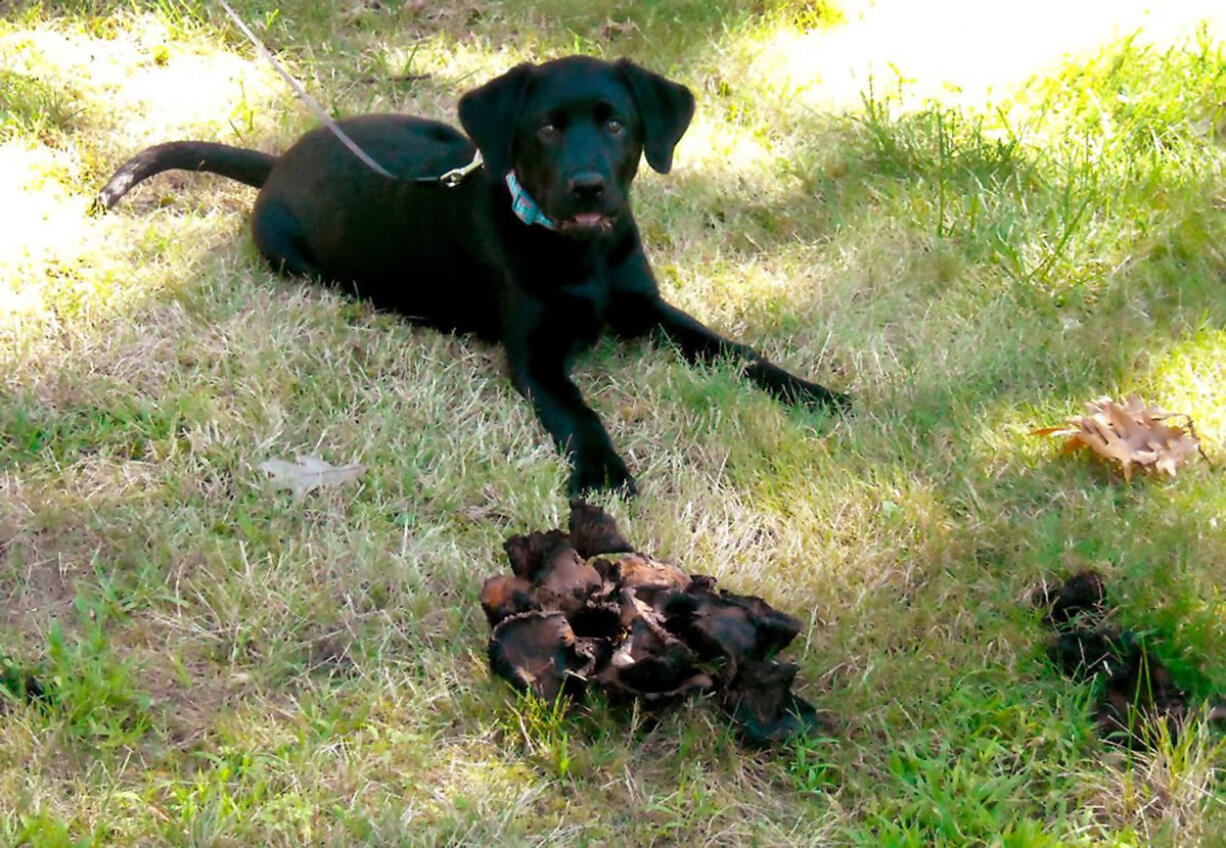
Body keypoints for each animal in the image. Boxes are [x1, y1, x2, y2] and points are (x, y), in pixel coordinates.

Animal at [98, 56, 843, 492]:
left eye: (615, 124)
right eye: (546, 128)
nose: (588, 186)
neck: (583, 255)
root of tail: (280, 160)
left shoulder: (649, 308)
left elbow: (736, 351)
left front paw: (815, 393)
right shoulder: (536, 358)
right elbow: (579, 412)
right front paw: (603, 471)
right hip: (295, 257)